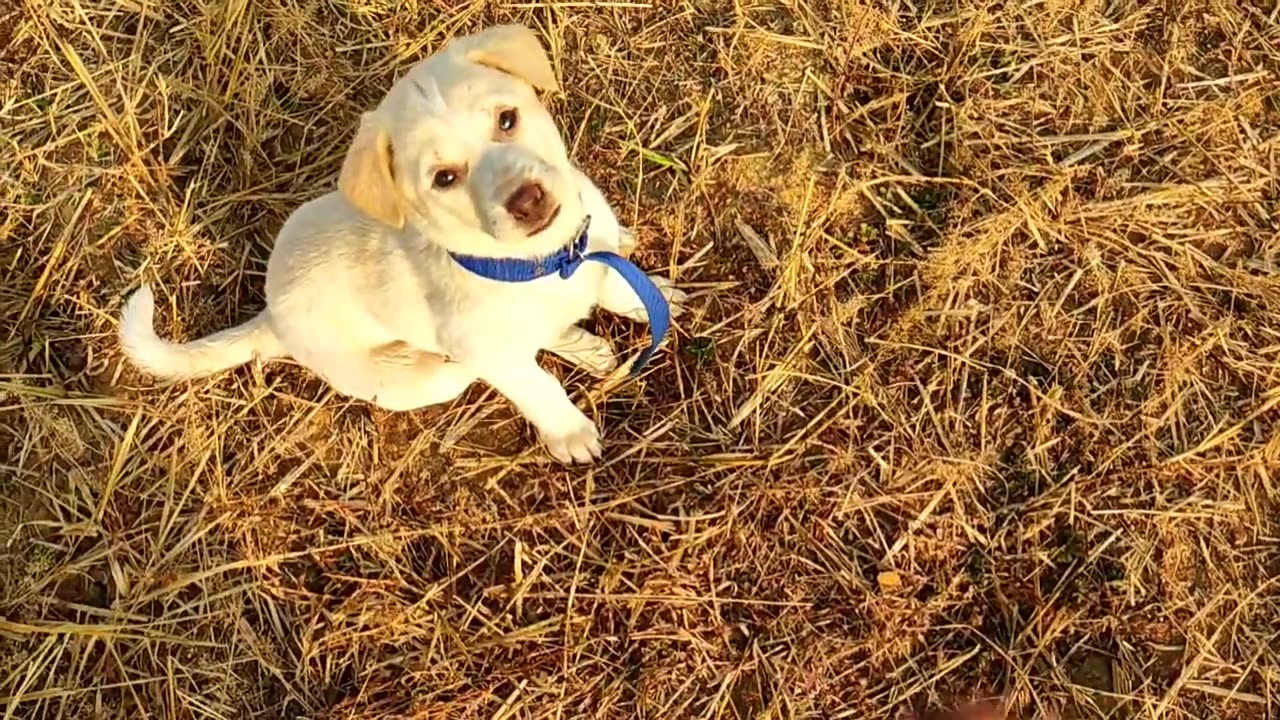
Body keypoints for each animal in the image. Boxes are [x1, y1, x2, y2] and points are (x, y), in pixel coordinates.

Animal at [120, 25, 686, 461]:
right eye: (444, 178)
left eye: (507, 119)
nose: (527, 200)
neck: (544, 263)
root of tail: (272, 319)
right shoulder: (497, 356)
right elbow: (538, 386)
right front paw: (570, 433)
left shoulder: (594, 252)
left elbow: (618, 288)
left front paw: (650, 298)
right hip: (427, 377)